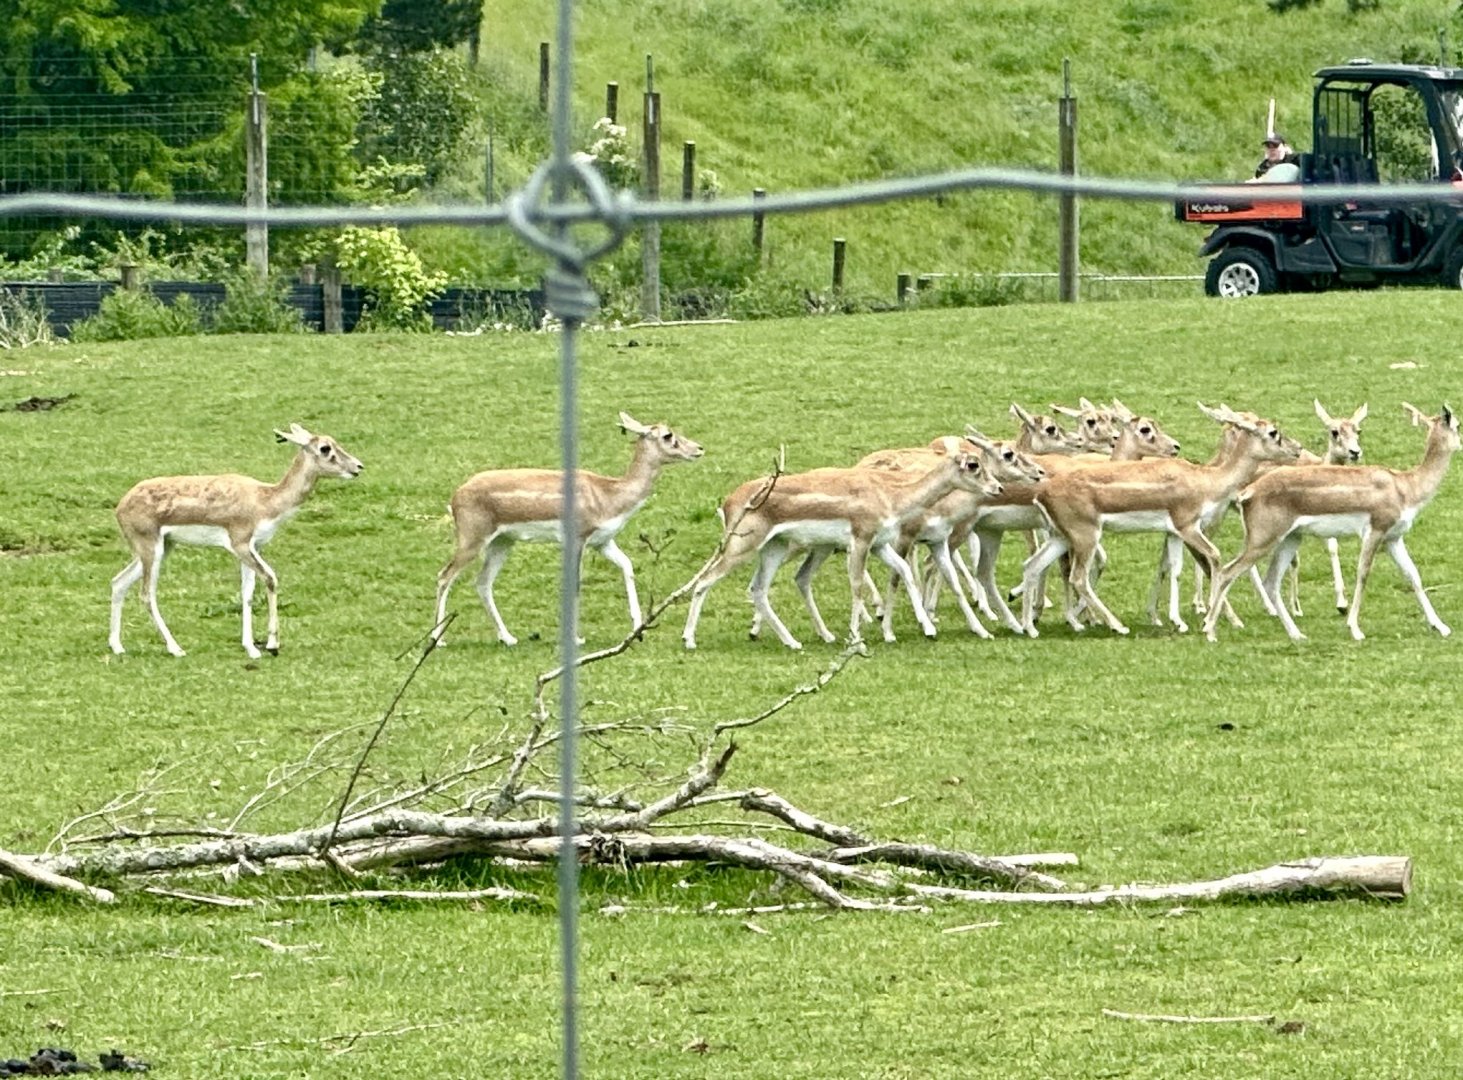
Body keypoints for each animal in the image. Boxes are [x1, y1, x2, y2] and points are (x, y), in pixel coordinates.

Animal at [108, 423, 364, 659]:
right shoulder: (240, 544)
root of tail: (121, 505)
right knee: (146, 594)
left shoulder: (253, 548)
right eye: (325, 448)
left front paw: (250, 647)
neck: (264, 500)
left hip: (163, 547)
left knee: (119, 582)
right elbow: (270, 578)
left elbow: (247, 593)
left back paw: (117, 647)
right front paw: (272, 645)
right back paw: (176, 648)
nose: (358, 467)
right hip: (151, 549)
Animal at [433, 412, 703, 647]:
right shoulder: (577, 539)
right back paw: (438, 639)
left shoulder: (603, 542)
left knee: (482, 582)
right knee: (445, 575)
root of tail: (456, 496)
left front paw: (638, 630)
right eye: (668, 435)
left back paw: (508, 638)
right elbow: (575, 585)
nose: (699, 448)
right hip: (473, 539)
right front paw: (576, 638)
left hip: (503, 542)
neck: (608, 495)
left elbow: (627, 565)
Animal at [682, 452, 1002, 650]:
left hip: (775, 548)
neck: (889, 495)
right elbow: (857, 585)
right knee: (705, 581)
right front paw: (857, 637)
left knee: (758, 589)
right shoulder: (860, 541)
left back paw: (793, 641)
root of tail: (729, 501)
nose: (997, 488)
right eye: (974, 465)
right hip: (743, 547)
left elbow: (904, 572)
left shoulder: (880, 544)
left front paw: (926, 628)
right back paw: (689, 639)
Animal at [1019, 404, 1303, 637]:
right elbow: (1215, 557)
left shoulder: (1174, 532)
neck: (1207, 479)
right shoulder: (1188, 526)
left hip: (1060, 536)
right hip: (1085, 536)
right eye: (1273, 432)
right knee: (1077, 577)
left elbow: (1174, 568)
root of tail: (1042, 492)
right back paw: (1116, 625)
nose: (1298, 449)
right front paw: (1208, 620)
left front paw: (1178, 621)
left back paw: (1030, 626)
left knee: (1033, 565)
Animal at [1202, 403, 1457, 643]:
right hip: (1262, 540)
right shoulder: (1374, 532)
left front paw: (1441, 626)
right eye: (1458, 425)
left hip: (1290, 539)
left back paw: (1296, 634)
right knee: (1227, 571)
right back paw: (1211, 630)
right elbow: (1363, 574)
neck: (1405, 486)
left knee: (1270, 581)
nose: (1460, 444)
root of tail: (1247, 492)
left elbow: (1413, 575)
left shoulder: (1394, 538)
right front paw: (1355, 629)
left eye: (1358, 430)